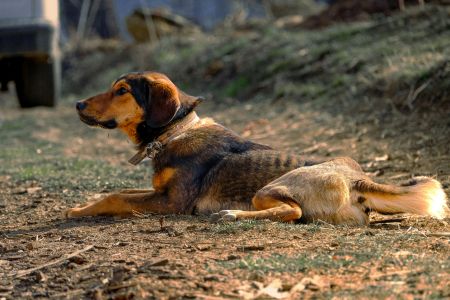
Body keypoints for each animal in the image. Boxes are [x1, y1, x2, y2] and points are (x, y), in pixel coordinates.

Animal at [65, 71, 448, 224]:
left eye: (122, 91)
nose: (77, 105)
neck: (175, 131)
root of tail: (356, 179)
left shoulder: (173, 202)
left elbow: (117, 197)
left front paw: (77, 210)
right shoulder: (157, 192)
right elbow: (117, 192)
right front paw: (85, 203)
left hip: (270, 188)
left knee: (291, 211)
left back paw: (232, 214)